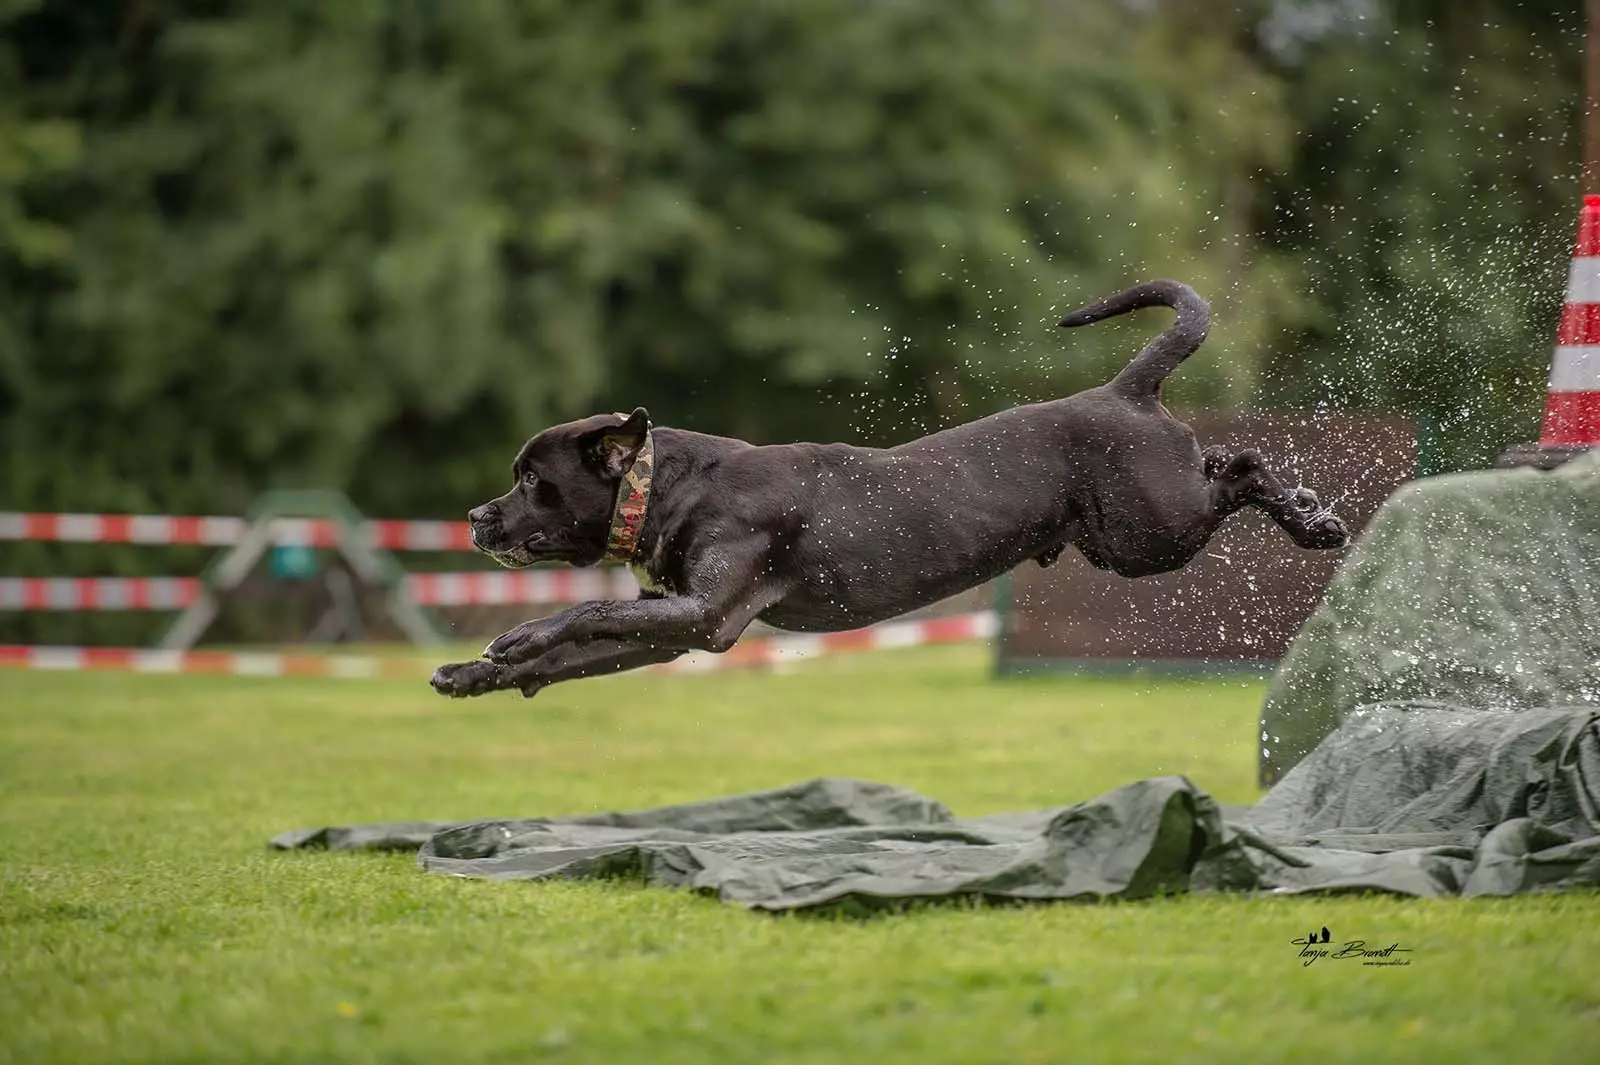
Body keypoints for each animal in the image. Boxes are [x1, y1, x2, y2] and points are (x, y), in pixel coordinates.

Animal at [432, 279, 1344, 697]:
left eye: (531, 480)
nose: (474, 515)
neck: (663, 487)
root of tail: (1126, 391)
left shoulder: (706, 614)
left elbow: (583, 610)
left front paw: (516, 636)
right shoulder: (678, 628)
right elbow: (583, 647)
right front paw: (474, 673)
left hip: (1151, 531)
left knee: (1243, 468)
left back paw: (1316, 520)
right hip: (1140, 531)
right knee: (1229, 468)